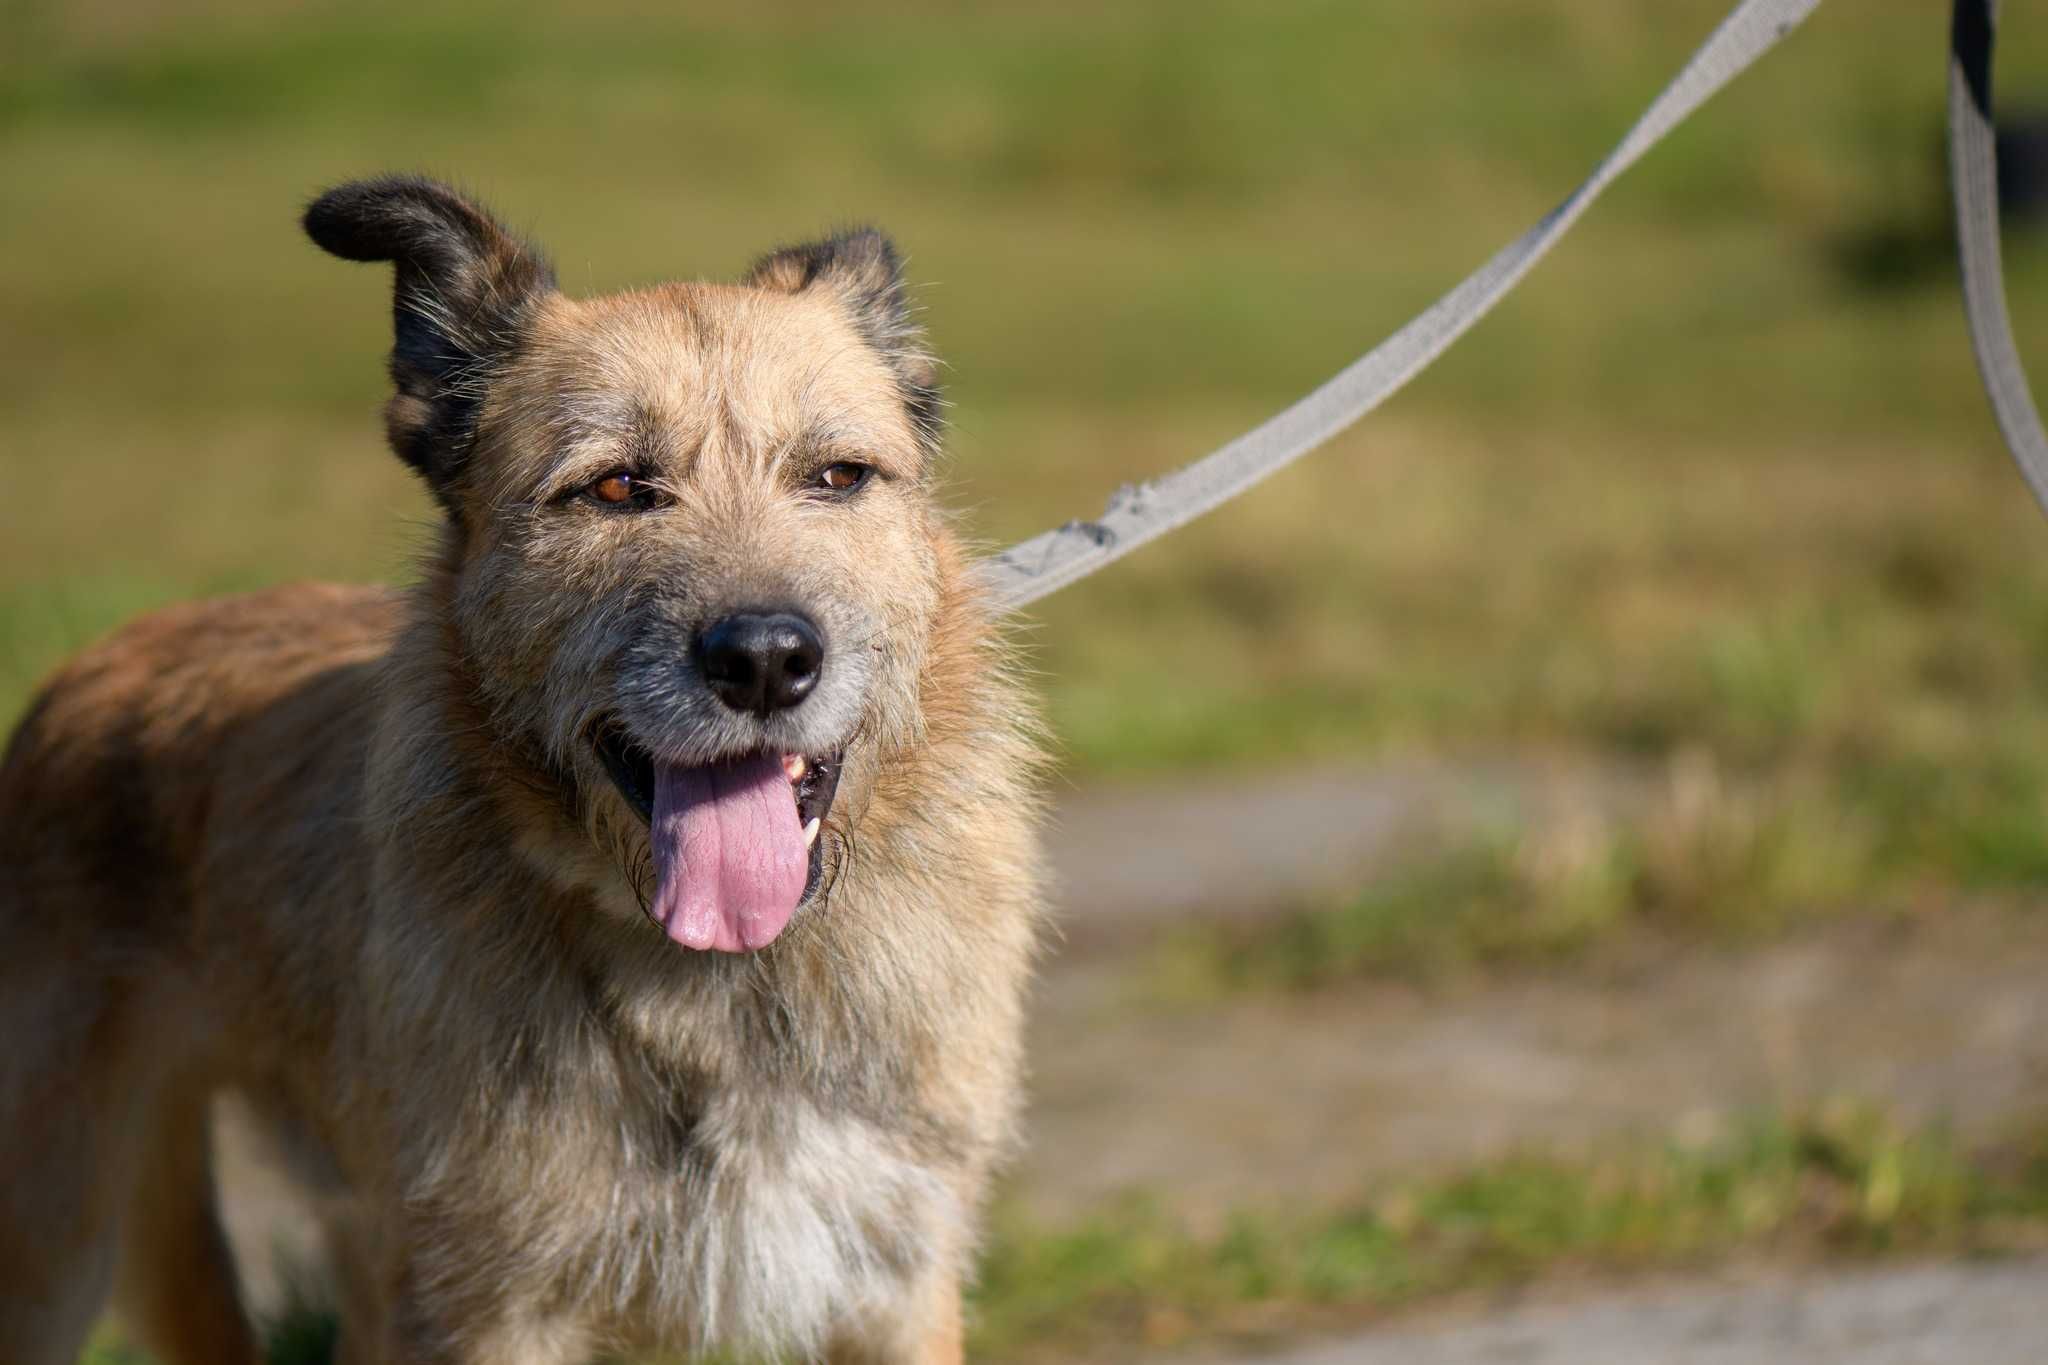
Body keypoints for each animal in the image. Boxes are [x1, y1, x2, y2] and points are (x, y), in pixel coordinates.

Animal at [0, 179, 1048, 1365]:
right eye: (614, 487)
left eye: (837, 477)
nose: (767, 661)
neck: (712, 978)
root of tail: (92, 661)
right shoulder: (490, 1308)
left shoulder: (893, 1279)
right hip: (53, 1240)